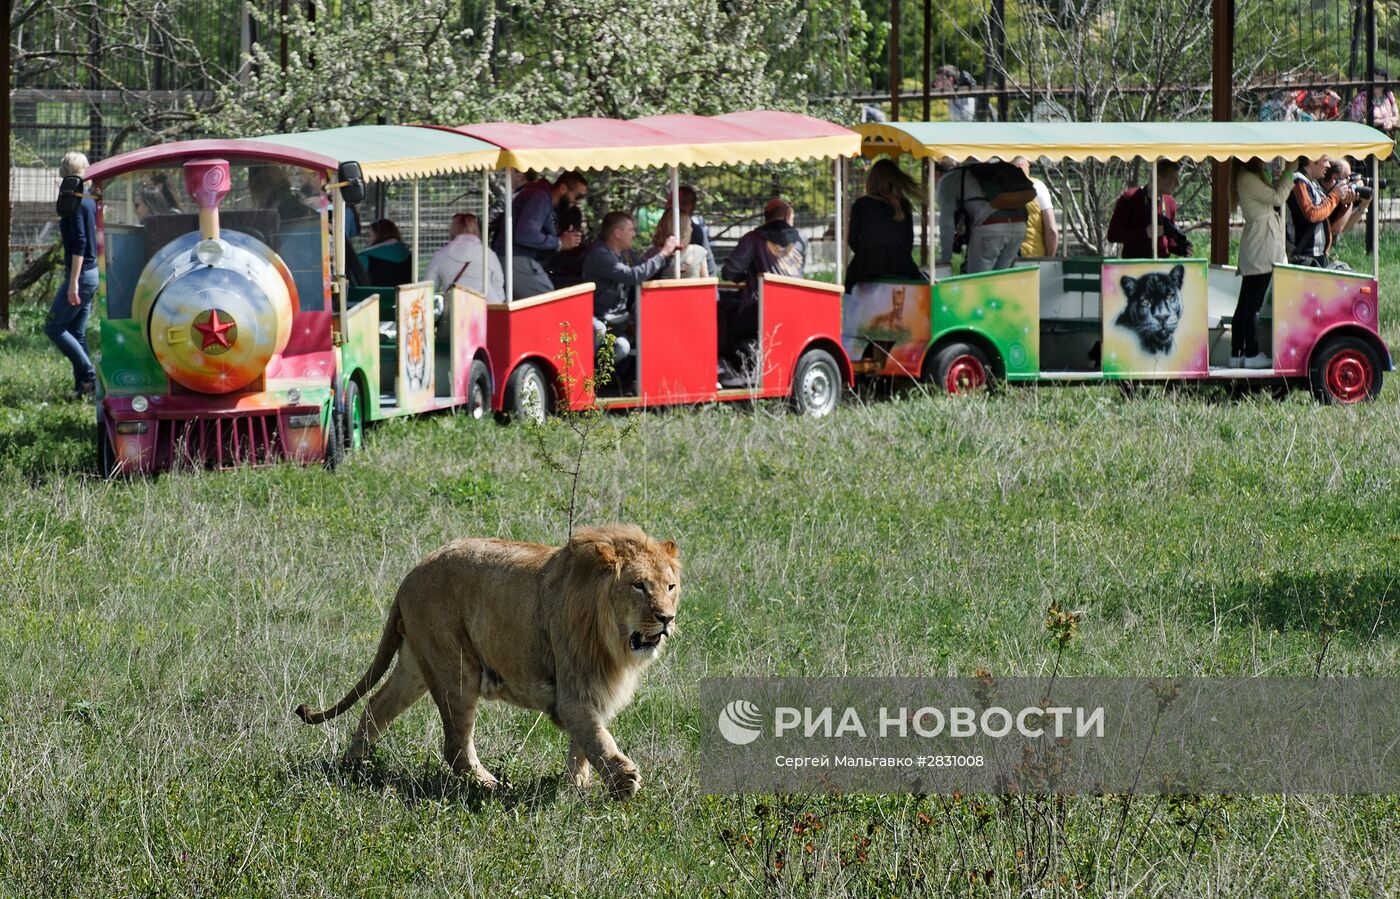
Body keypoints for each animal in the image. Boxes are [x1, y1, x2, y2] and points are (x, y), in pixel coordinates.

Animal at [296, 518, 683, 795]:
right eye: (639, 586)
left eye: (670, 587)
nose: (666, 618)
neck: (612, 637)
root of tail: (410, 576)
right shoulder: (573, 692)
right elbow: (595, 736)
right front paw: (623, 782)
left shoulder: (591, 691)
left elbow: (583, 744)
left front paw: (578, 787)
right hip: (456, 669)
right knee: (455, 747)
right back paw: (492, 787)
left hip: (416, 664)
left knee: (376, 706)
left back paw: (352, 766)